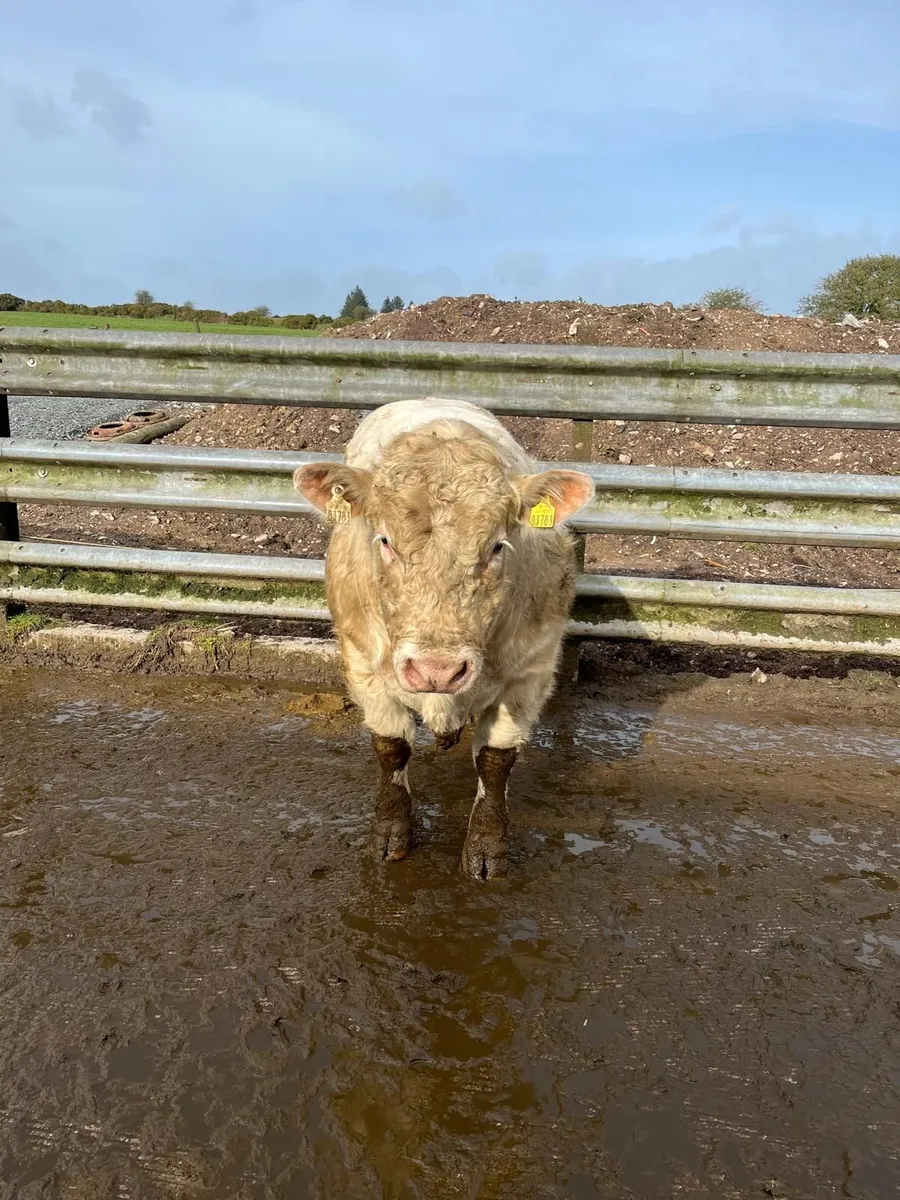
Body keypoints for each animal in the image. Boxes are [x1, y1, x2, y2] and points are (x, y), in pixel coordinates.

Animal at [294, 398, 594, 879]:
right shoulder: (363, 667)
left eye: (496, 546)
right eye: (385, 540)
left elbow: (495, 761)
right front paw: (390, 837)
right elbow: (392, 749)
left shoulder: (530, 674)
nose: (437, 669)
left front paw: (486, 850)